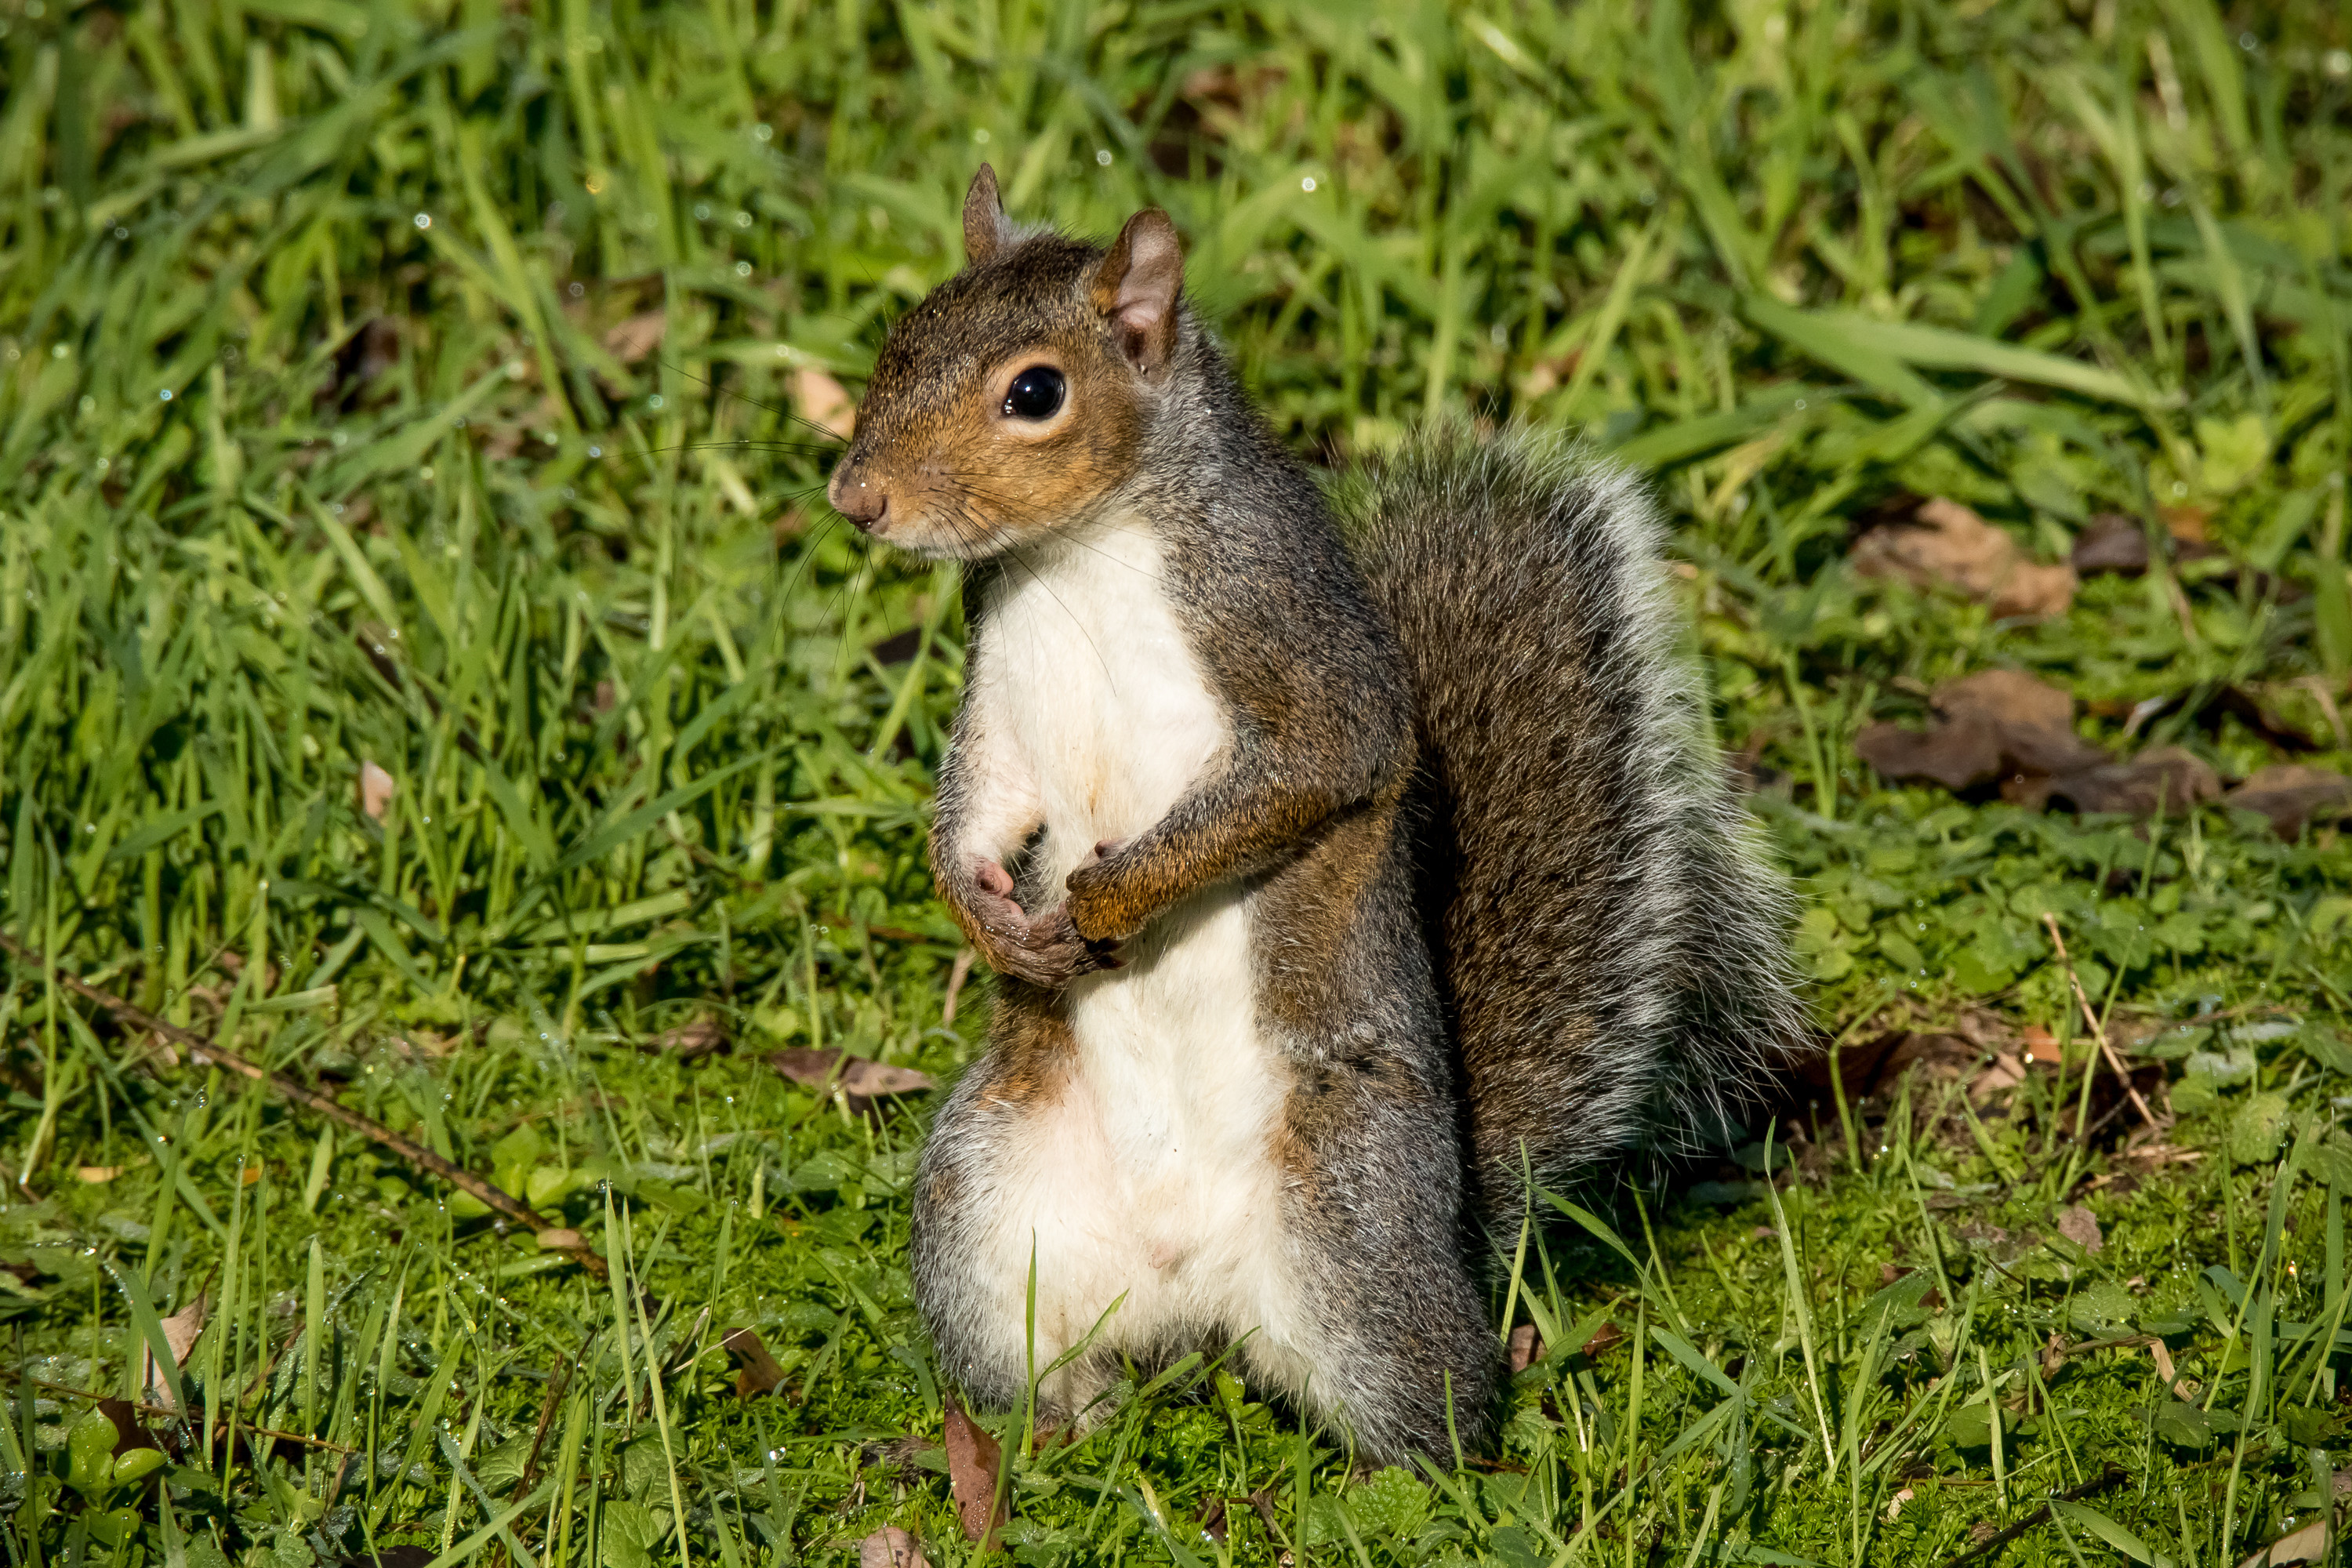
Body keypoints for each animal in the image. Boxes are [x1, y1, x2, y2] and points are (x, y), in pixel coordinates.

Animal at [828, 165, 1797, 1467]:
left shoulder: (1290, 645)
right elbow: (986, 803)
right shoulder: (999, 697)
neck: (1075, 554)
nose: (856, 496)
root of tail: (1187, 1290)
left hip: (1350, 1220)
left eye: (1035, 392)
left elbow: (1297, 780)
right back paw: (1037, 1447)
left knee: (1431, 1407)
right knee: (1050, 1373)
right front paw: (987, 913)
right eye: (901, 337)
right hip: (986, 1212)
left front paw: (1106, 897)